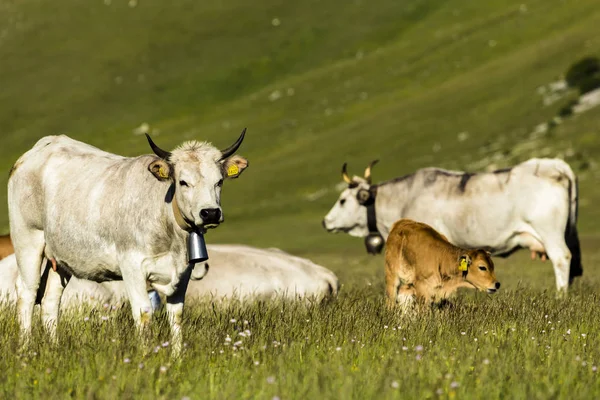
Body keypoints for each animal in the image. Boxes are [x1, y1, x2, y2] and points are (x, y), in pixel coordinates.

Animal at [7, 130, 246, 352]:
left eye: (219, 182)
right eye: (183, 182)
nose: (210, 213)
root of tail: (46, 144)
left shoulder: (183, 270)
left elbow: (176, 315)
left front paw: (177, 358)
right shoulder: (132, 265)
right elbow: (143, 313)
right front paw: (147, 356)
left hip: (61, 256)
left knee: (50, 300)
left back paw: (55, 348)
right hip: (28, 238)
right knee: (27, 291)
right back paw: (25, 349)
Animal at [324, 159, 580, 294]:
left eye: (342, 200)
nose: (325, 221)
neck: (405, 197)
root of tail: (552, 164)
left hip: (550, 233)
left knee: (561, 258)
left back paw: (561, 295)